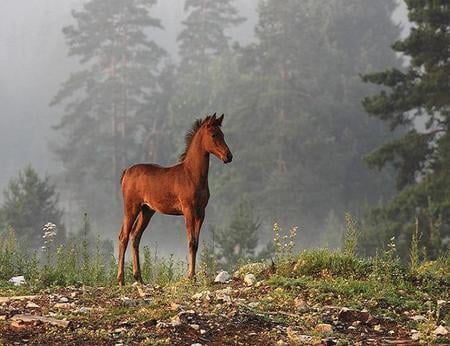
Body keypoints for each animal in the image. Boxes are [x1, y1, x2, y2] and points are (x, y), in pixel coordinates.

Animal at [117, 113, 232, 286]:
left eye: (223, 134)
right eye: (213, 135)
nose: (228, 156)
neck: (191, 175)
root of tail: (126, 172)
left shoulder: (201, 212)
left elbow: (196, 243)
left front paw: (193, 276)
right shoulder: (188, 210)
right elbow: (191, 241)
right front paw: (190, 276)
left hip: (147, 210)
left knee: (135, 236)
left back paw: (140, 278)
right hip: (131, 207)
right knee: (123, 236)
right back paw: (121, 280)